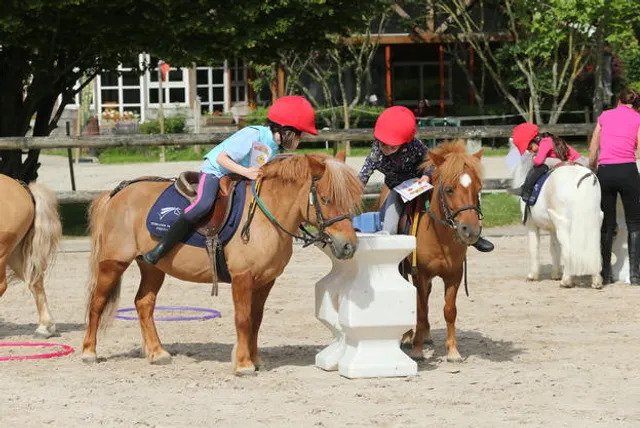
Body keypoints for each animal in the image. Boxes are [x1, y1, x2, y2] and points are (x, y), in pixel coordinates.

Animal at [81, 153, 363, 375]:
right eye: (325, 199)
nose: (348, 246)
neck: (265, 216)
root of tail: (116, 193)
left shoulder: (266, 280)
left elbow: (256, 319)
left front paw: (255, 359)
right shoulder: (242, 277)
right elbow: (243, 319)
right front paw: (243, 365)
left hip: (153, 267)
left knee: (144, 304)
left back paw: (157, 353)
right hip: (113, 263)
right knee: (97, 302)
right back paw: (89, 352)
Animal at [379, 141, 484, 362]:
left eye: (479, 188)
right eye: (449, 189)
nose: (470, 230)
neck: (440, 237)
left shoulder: (454, 274)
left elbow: (449, 310)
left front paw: (453, 351)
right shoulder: (420, 274)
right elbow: (420, 309)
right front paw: (417, 349)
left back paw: (425, 335)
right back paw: (408, 337)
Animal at [511, 154, 602, 288]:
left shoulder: (531, 225)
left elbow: (534, 248)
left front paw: (532, 275)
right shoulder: (553, 229)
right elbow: (554, 249)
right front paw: (555, 274)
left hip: (563, 224)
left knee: (568, 250)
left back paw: (566, 281)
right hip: (595, 222)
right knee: (594, 249)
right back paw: (596, 280)